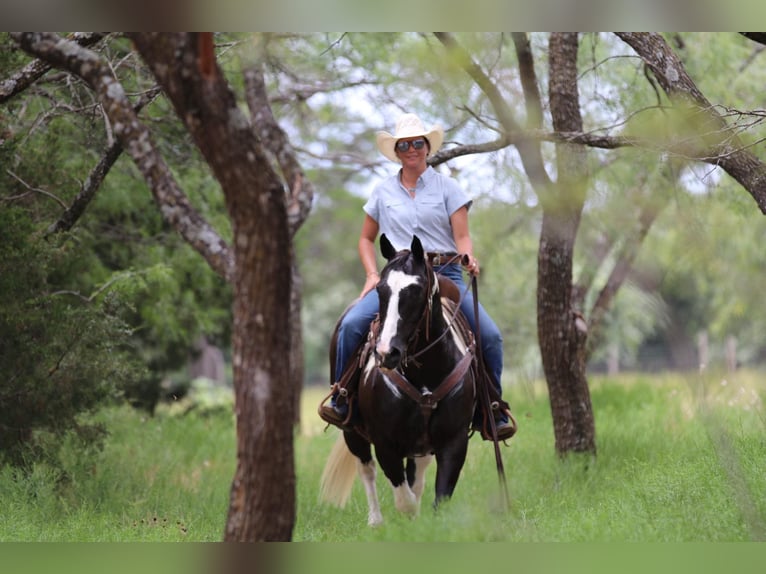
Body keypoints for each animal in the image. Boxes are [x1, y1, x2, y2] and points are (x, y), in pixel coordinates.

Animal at [316, 234, 474, 528]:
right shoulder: (385, 444)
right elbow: (404, 499)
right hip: (351, 432)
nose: (386, 352)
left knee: (416, 473)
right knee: (366, 470)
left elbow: (437, 495)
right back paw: (376, 520)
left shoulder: (454, 442)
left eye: (416, 289)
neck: (425, 374)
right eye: (380, 289)